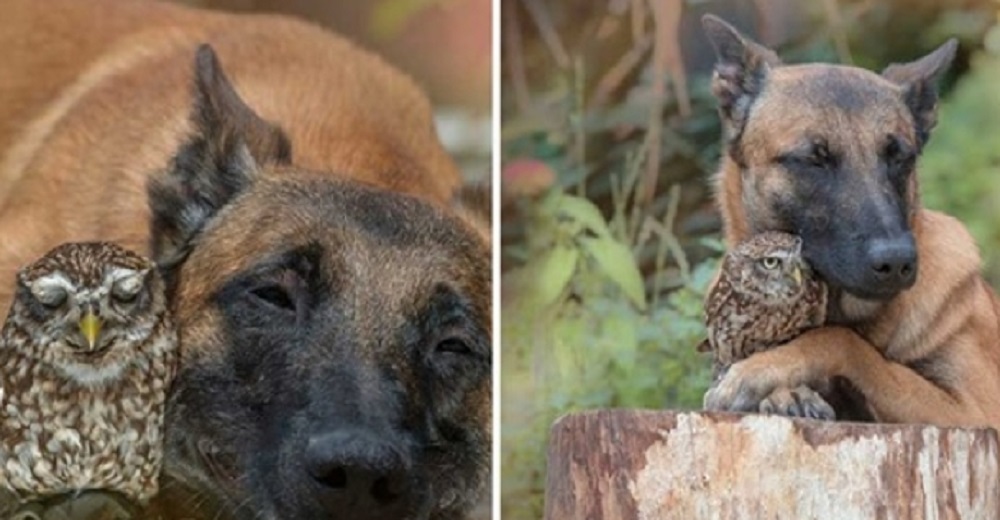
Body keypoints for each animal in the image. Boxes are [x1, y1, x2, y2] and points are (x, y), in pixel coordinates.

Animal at [700, 16, 1000, 430]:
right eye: (814, 159)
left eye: (900, 158)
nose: (897, 262)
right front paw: (786, 391)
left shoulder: (975, 413)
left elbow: (846, 342)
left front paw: (765, 369)